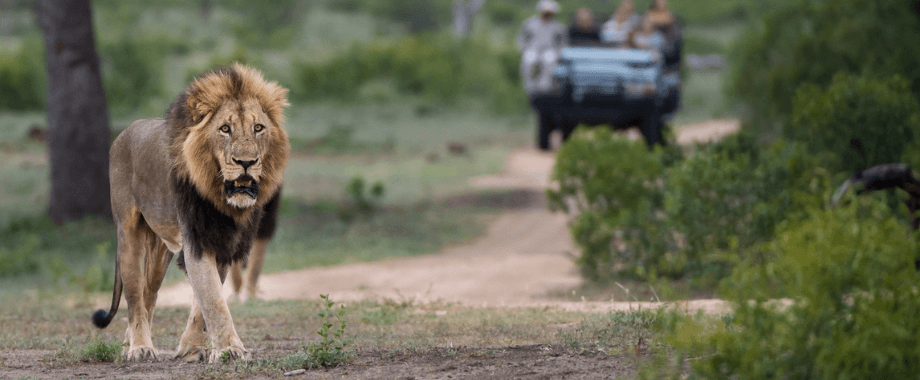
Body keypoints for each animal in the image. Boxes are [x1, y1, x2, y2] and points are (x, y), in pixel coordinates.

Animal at [91, 63, 290, 362]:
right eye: (225, 129)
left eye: (258, 128)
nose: (246, 162)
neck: (220, 198)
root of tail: (123, 134)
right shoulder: (197, 237)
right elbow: (213, 299)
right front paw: (230, 349)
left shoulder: (221, 240)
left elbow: (203, 302)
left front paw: (192, 349)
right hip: (128, 233)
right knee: (135, 296)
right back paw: (140, 347)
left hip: (160, 248)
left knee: (149, 294)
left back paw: (129, 343)